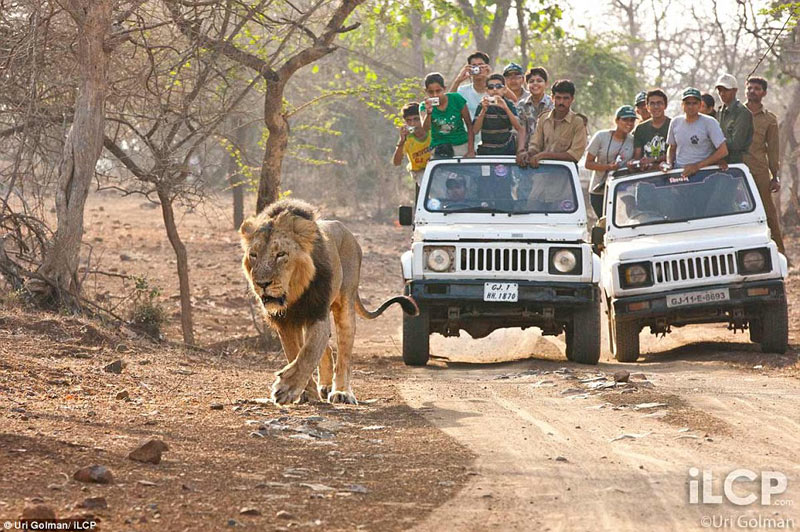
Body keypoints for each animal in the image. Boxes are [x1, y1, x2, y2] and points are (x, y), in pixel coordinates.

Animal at [240, 199, 418, 405]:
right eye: (253, 255)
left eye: (281, 254)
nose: (262, 284)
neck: (294, 293)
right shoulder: (285, 322)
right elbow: (295, 353)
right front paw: (306, 392)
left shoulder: (317, 312)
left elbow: (308, 352)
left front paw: (286, 388)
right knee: (327, 349)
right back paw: (324, 387)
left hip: (345, 304)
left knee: (343, 353)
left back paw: (341, 392)